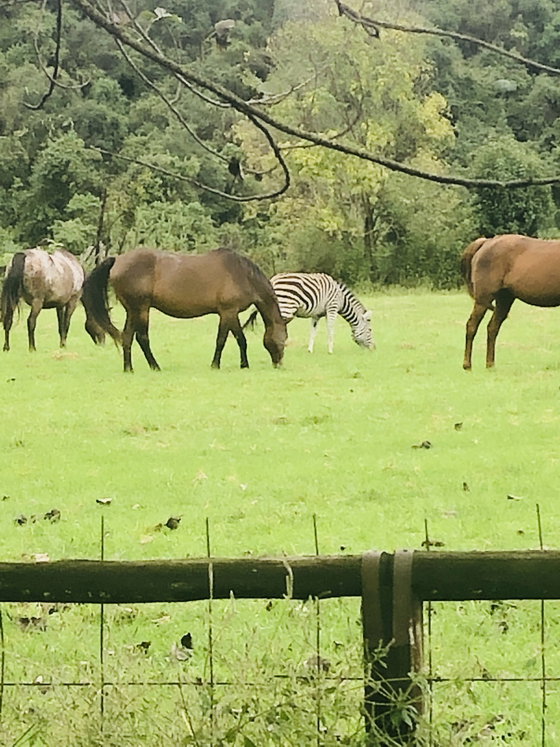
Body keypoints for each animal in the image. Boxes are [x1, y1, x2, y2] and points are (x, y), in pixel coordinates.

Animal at [81, 247, 287, 372]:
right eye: (284, 339)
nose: (279, 363)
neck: (242, 274)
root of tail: (118, 260)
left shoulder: (229, 314)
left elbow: (233, 339)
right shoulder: (228, 312)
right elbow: (229, 340)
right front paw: (222, 365)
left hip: (132, 311)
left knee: (127, 337)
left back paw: (128, 369)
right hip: (141, 309)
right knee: (142, 338)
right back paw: (155, 366)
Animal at [245, 272, 374, 353]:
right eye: (370, 330)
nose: (374, 348)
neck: (342, 299)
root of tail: (273, 279)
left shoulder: (317, 314)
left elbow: (313, 331)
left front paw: (310, 349)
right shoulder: (332, 308)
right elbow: (330, 329)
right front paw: (330, 350)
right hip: (285, 306)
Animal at [462, 233, 560, 369]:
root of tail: (486, 242)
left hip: (504, 299)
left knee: (492, 328)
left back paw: (490, 365)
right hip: (483, 299)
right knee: (472, 326)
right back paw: (467, 365)